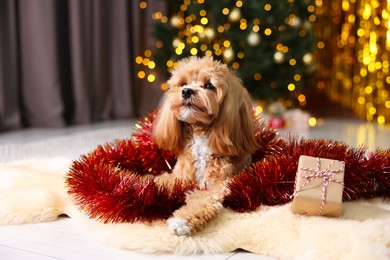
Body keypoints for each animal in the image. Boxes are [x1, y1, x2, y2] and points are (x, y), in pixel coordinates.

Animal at [152, 56, 258, 236]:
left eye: (209, 85)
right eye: (183, 83)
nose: (187, 91)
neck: (200, 134)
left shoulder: (218, 185)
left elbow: (202, 199)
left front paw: (181, 221)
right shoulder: (181, 174)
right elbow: (164, 181)